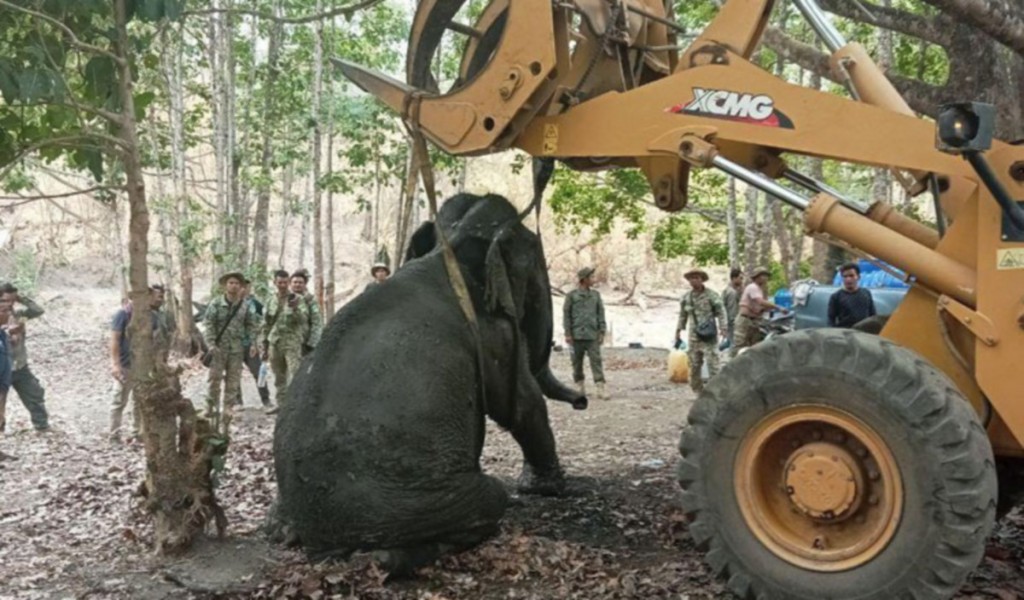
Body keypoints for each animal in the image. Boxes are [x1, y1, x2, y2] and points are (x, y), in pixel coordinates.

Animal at [272, 190, 589, 569]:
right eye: (536, 266)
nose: (582, 401)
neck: (449, 244)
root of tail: (321, 543)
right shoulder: (494, 334)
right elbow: (522, 407)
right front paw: (548, 488)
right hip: (411, 506)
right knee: (490, 497)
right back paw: (391, 558)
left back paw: (285, 533)